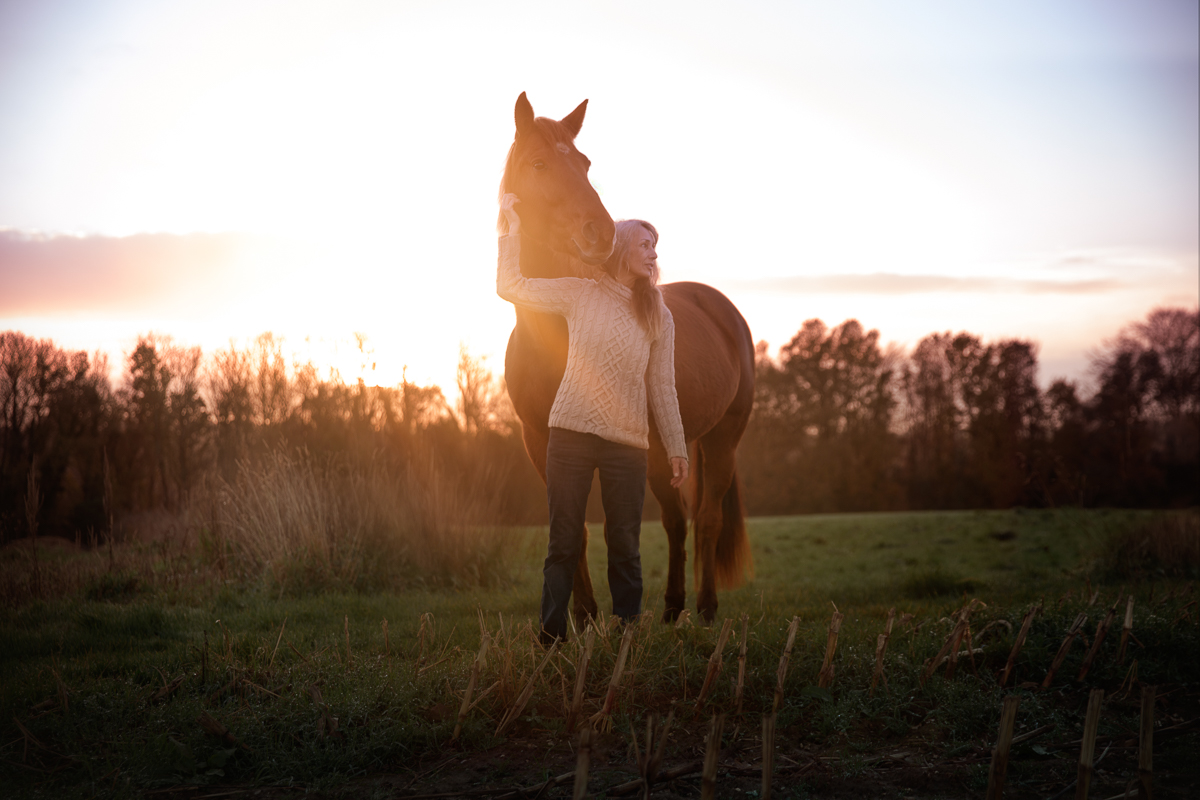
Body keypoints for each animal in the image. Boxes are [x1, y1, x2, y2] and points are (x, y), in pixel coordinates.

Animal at [498, 92, 755, 624]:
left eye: (585, 163)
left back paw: (703, 608)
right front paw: (582, 617)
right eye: (538, 163)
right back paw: (673, 608)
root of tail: (719, 305)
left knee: (705, 519)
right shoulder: (541, 442)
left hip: (721, 438)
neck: (556, 330)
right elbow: (573, 530)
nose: (599, 233)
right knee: (678, 519)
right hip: (664, 450)